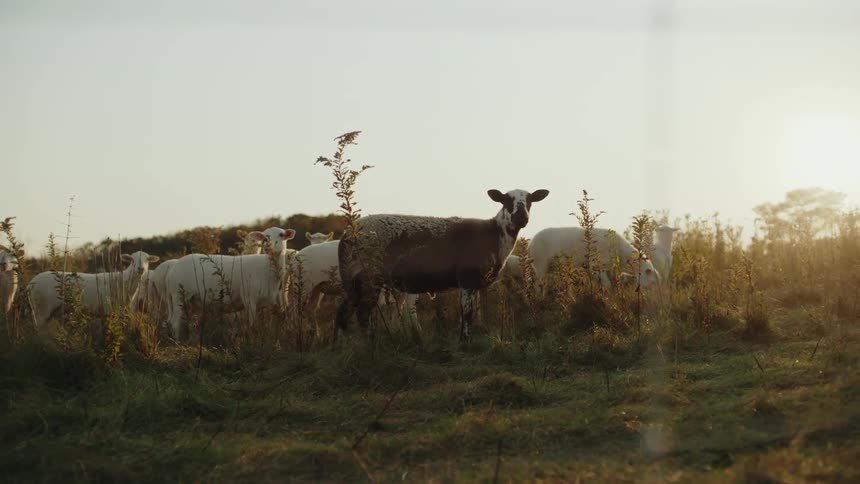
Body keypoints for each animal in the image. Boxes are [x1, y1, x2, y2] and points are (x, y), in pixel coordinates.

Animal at [28, 251, 159, 328]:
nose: (140, 268)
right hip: (42, 308)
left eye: (147, 259)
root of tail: (31, 283)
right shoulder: (107, 310)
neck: (122, 281)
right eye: (132, 260)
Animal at [165, 229, 295, 340]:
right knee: (176, 323)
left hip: (192, 301)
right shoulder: (249, 300)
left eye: (281, 234)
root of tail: (172, 270)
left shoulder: (270, 303)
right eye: (264, 236)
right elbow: (252, 326)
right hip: (179, 296)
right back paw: (179, 343)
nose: (267, 244)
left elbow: (269, 327)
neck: (267, 268)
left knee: (185, 322)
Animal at [335, 188, 550, 341]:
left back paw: (339, 346)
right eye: (506, 200)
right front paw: (464, 343)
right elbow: (467, 314)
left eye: (530, 200)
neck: (494, 235)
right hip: (369, 275)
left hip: (355, 279)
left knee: (343, 311)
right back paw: (370, 346)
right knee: (362, 313)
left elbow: (470, 313)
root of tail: (346, 236)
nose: (521, 217)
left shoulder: (472, 284)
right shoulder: (466, 279)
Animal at [529, 227, 661, 291]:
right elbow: (606, 284)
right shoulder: (598, 263)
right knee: (538, 283)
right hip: (540, 262)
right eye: (653, 282)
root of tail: (531, 243)